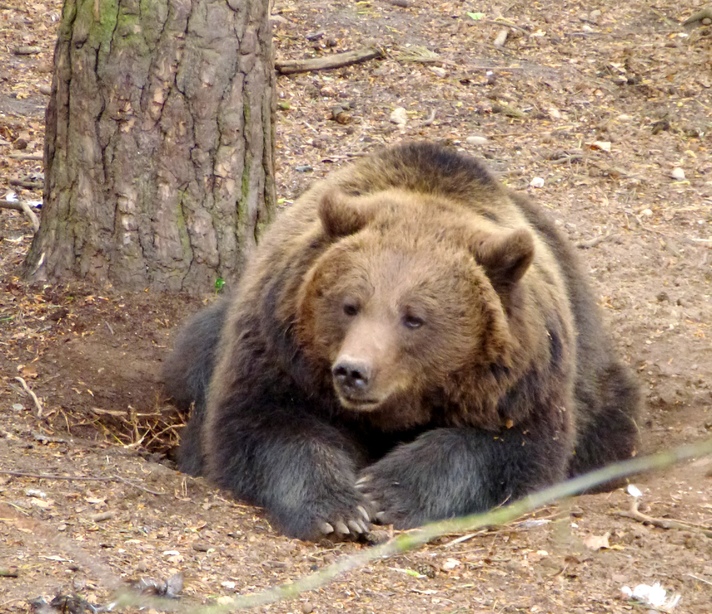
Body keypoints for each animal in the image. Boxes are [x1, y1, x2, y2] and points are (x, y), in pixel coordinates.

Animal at [162, 141, 640, 541]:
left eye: (414, 318)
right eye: (350, 304)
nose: (352, 371)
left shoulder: (525, 379)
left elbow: (513, 450)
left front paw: (384, 492)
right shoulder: (274, 348)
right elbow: (260, 426)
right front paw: (339, 510)